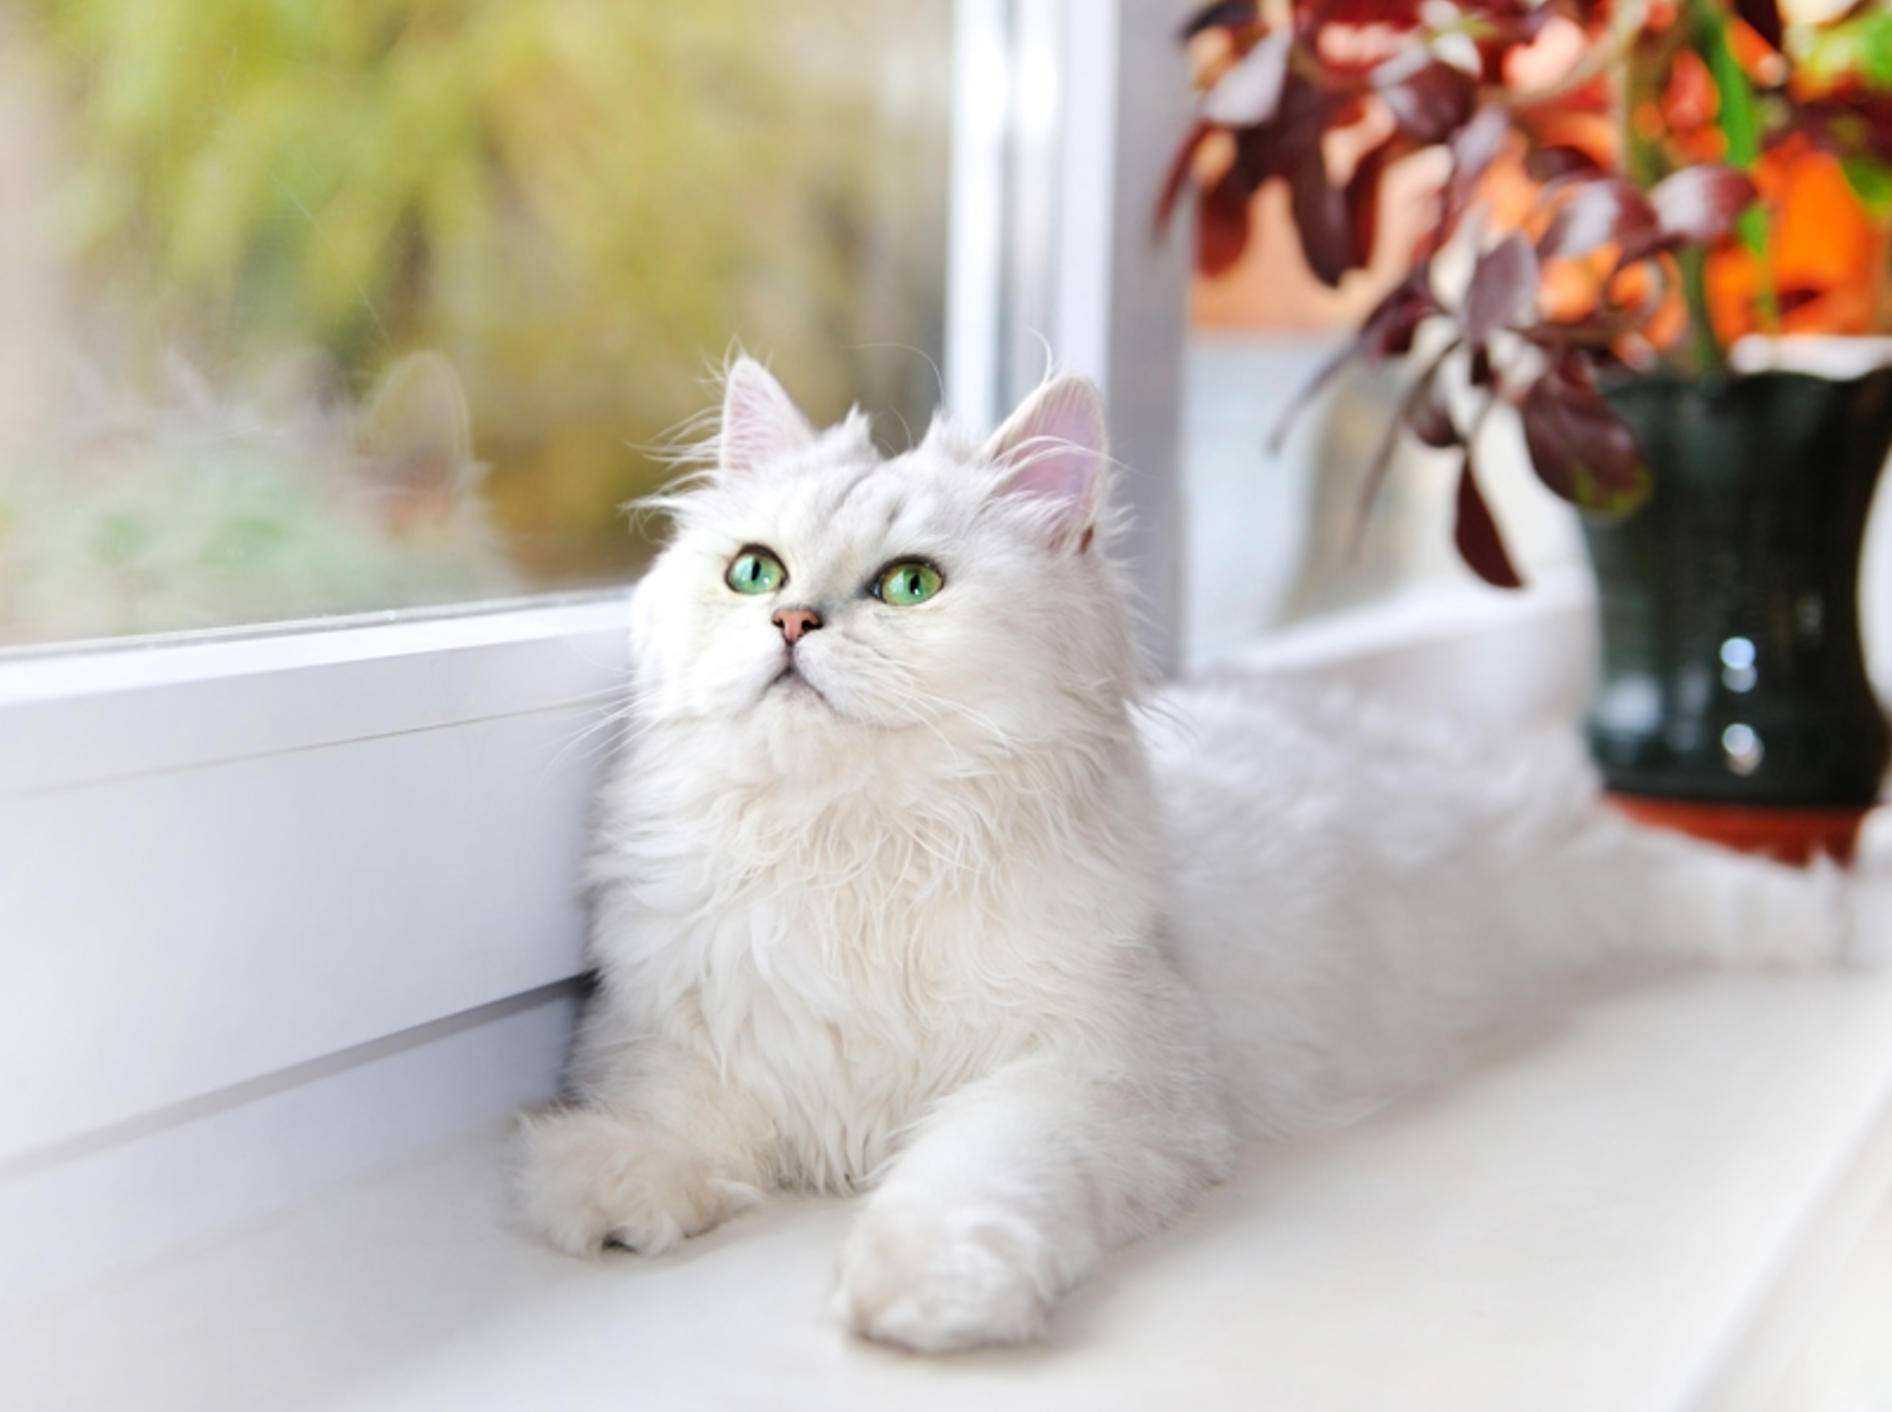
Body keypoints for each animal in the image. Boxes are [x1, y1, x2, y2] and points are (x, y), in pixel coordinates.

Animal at [514, 357, 1846, 1347]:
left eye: (908, 585)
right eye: (754, 572)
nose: (791, 622)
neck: (858, 848)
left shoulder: (1089, 1072)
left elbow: (967, 1173)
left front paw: (921, 1288)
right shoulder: (671, 1028)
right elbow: (660, 1117)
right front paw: (609, 1189)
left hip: (1573, 872)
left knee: (1704, 887)